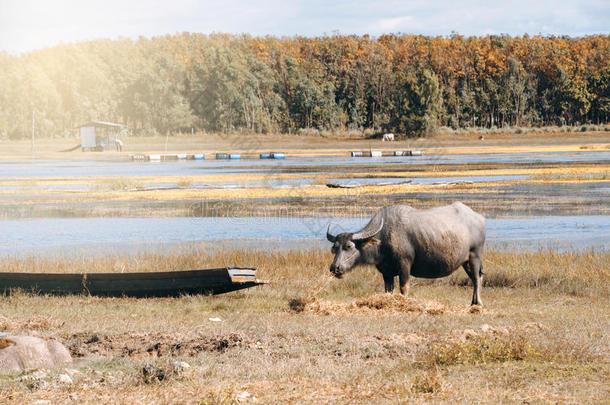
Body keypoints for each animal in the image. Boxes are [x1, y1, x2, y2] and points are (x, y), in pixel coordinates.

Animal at [326, 202, 486, 304]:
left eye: (349, 246)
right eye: (334, 247)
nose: (335, 268)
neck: (384, 238)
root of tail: (479, 218)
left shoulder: (405, 265)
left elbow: (404, 288)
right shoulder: (387, 272)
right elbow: (388, 290)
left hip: (475, 256)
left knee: (477, 278)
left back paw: (478, 303)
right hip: (465, 261)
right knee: (475, 278)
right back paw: (472, 302)